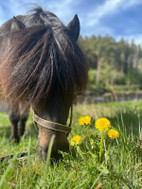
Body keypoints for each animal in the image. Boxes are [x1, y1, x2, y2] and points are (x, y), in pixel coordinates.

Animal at [0, 6, 87, 161]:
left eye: (72, 83)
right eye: (32, 83)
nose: (55, 152)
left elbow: (23, 116)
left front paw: (21, 135)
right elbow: (14, 116)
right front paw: (13, 139)